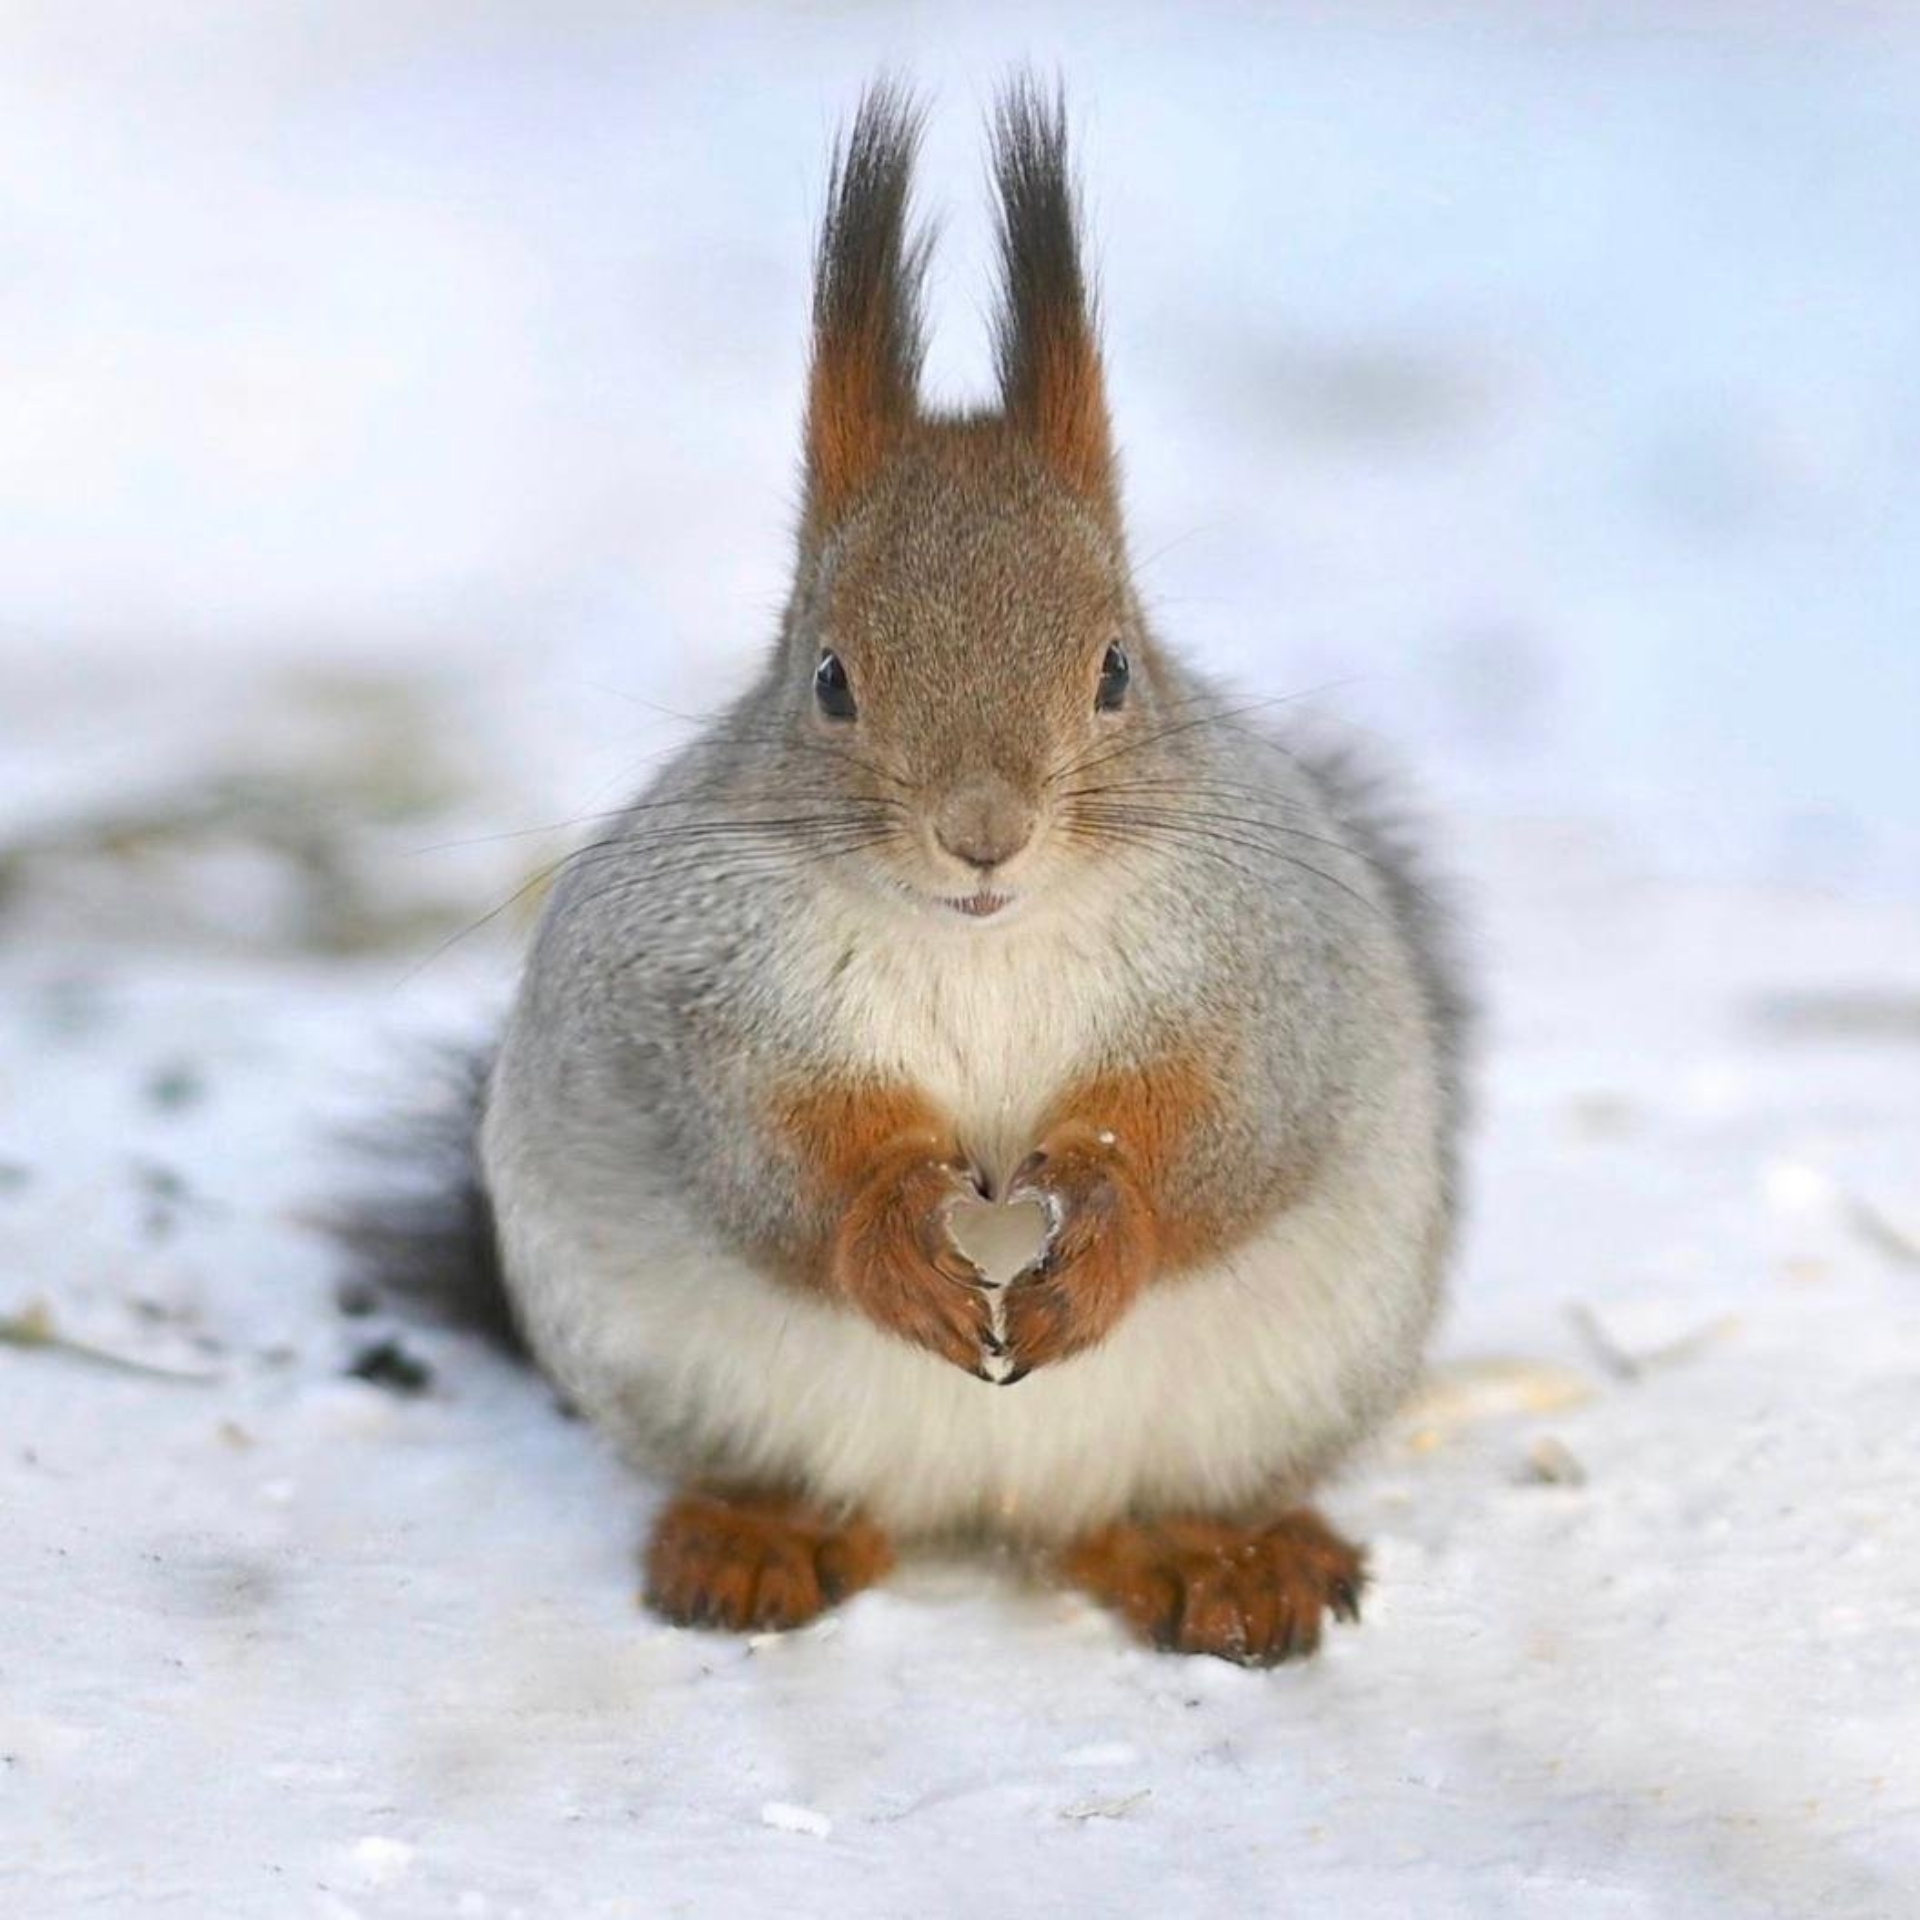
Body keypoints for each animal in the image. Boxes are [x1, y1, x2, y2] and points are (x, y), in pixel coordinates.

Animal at [366, 78, 1459, 1666]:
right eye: (829, 679)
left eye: (1117, 667)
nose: (983, 830)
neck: (981, 941)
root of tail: (986, 1510)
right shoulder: (698, 1000)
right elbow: (759, 1149)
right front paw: (890, 1230)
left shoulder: (1267, 976)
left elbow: (1225, 1126)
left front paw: (1105, 1214)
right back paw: (759, 1539)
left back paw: (1220, 1557)